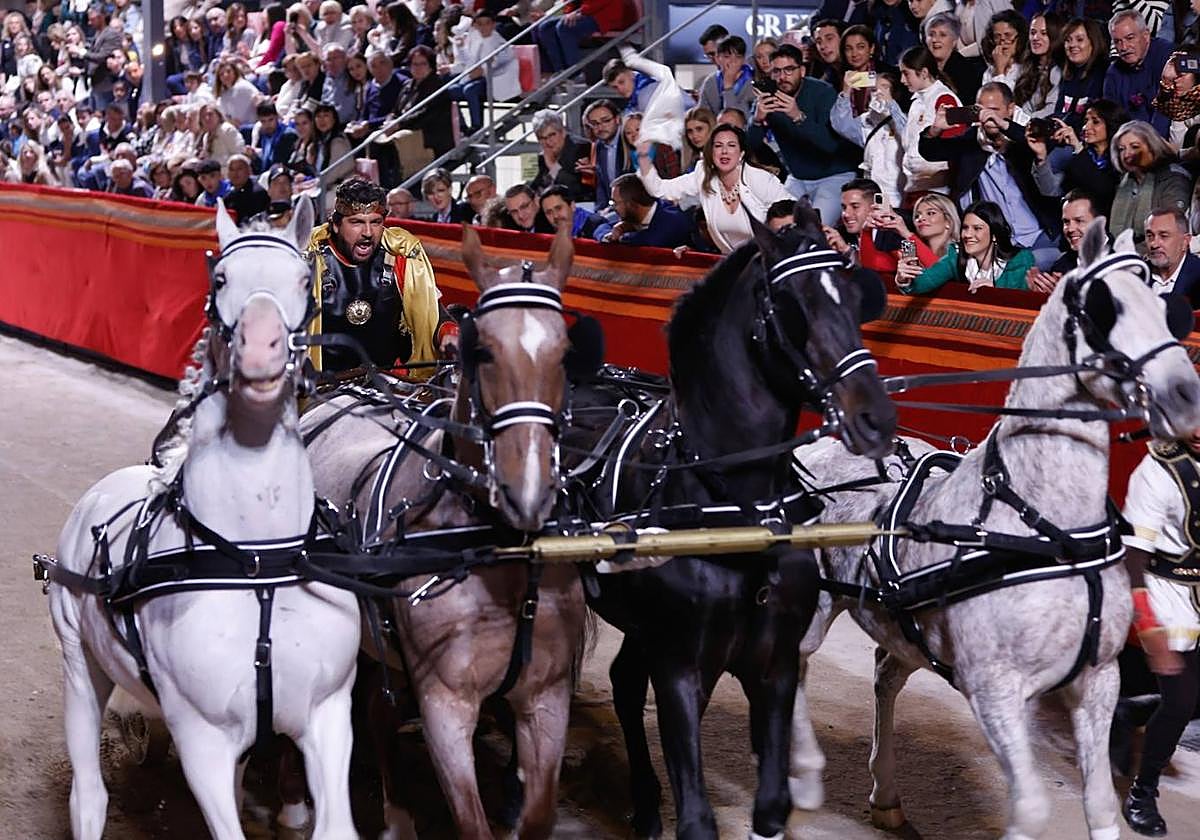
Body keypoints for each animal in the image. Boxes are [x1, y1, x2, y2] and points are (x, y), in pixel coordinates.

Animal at [45, 200, 362, 840]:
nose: (262, 348)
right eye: (219, 280)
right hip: (79, 665)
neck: (256, 561)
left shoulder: (327, 716)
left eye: (302, 280)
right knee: (88, 795)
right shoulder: (202, 739)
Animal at [300, 223, 594, 839]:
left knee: (378, 710)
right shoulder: (446, 703)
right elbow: (470, 824)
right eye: (484, 352)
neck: (498, 560)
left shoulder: (546, 698)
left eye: (564, 353)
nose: (527, 487)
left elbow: (537, 817)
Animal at [560, 213, 897, 840]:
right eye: (792, 304)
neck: (737, 514)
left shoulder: (775, 665)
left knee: (623, 682)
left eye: (852, 296)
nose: (876, 418)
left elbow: (770, 806)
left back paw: (646, 805)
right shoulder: (680, 669)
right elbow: (696, 818)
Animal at [788, 221, 1200, 840]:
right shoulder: (995, 689)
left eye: (1167, 309)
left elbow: (1101, 804)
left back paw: (886, 796)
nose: (1184, 393)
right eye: (1104, 309)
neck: (1045, 527)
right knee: (790, 665)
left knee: (886, 675)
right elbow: (1029, 806)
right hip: (813, 608)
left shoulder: (1098, 682)